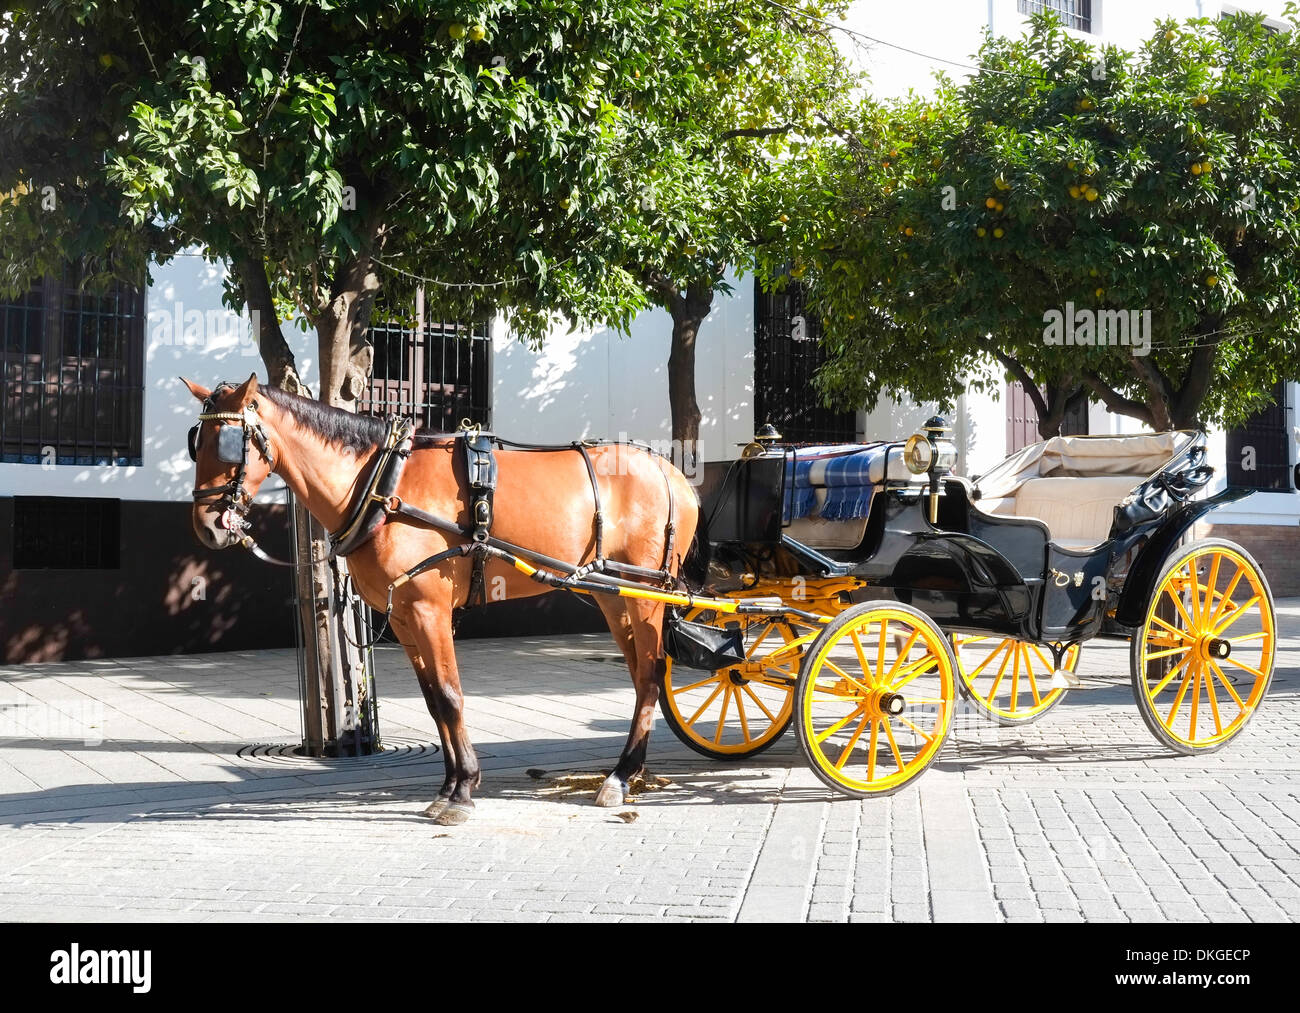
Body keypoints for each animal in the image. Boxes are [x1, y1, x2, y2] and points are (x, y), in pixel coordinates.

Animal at [183, 371, 702, 821]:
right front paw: (450, 784)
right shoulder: (404, 619)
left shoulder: (429, 609)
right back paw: (630, 771)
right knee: (640, 675)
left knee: (651, 674)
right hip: (614, 595)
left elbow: (451, 696)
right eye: (196, 443)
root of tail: (672, 472)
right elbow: (434, 701)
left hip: (647, 594)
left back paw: (621, 775)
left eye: (226, 444)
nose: (207, 528)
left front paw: (464, 789)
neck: (381, 484)